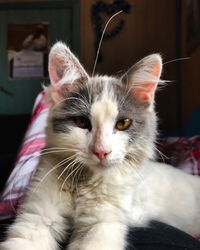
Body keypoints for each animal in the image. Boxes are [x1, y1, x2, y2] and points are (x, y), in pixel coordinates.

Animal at [0, 42, 200, 249]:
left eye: (123, 123)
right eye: (81, 122)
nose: (102, 151)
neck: (83, 182)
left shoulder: (103, 224)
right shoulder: (37, 217)